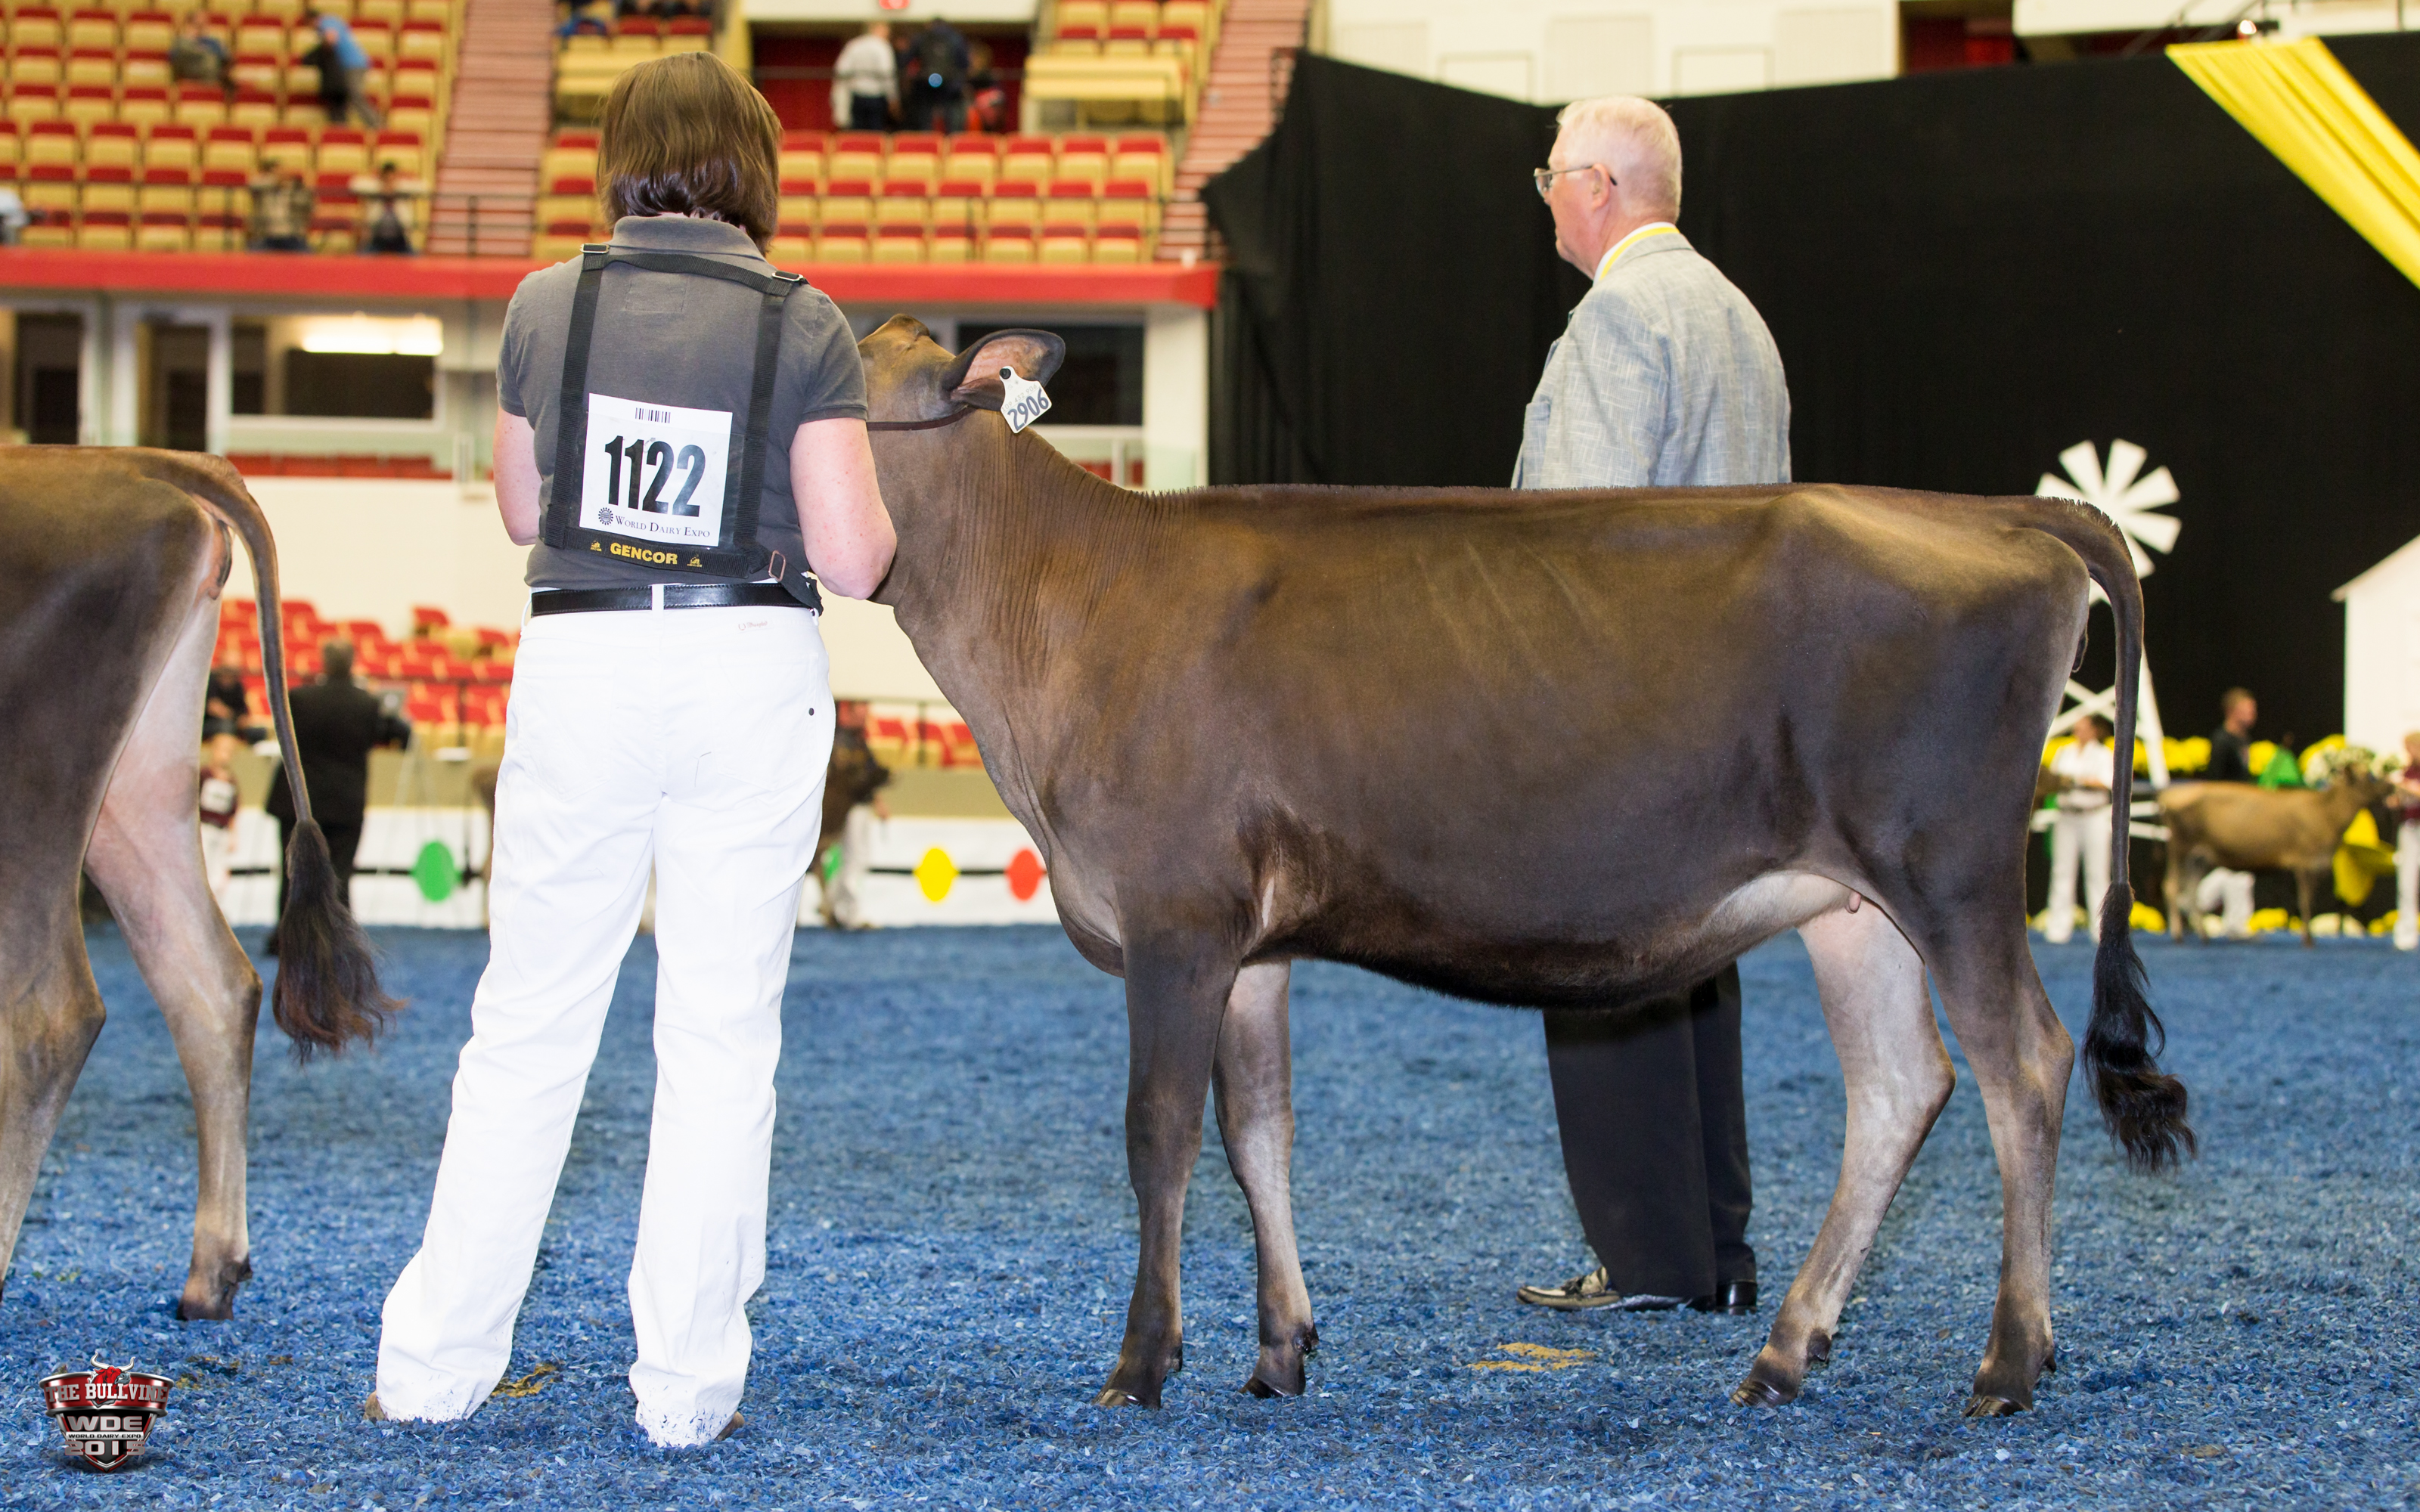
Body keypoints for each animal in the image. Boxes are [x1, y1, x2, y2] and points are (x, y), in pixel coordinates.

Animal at [1, 447, 396, 1321]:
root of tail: (136, 459)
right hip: (135, 786)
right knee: (212, 983)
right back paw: (213, 1274)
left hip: (34, 775)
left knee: (48, 1017)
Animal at [853, 318, 2192, 1420]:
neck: (1065, 602)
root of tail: (2003, 514)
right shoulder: (1252, 947)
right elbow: (1259, 1134)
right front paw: (1280, 1350)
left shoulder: (1175, 916)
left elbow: (1160, 1131)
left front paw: (1141, 1365)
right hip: (1855, 903)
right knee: (1902, 1086)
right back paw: (1786, 1352)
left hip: (1950, 870)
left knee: (2025, 1066)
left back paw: (2009, 1361)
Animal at [2160, 769, 2396, 945]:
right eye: (2369, 778)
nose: (2391, 786)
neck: (2328, 816)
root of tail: (2169, 796)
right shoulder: (2304, 860)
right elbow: (2305, 901)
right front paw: (2308, 939)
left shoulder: (2318, 863)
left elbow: (2308, 901)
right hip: (2180, 848)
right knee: (2171, 887)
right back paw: (2179, 935)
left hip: (2200, 858)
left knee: (2190, 891)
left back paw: (2203, 935)